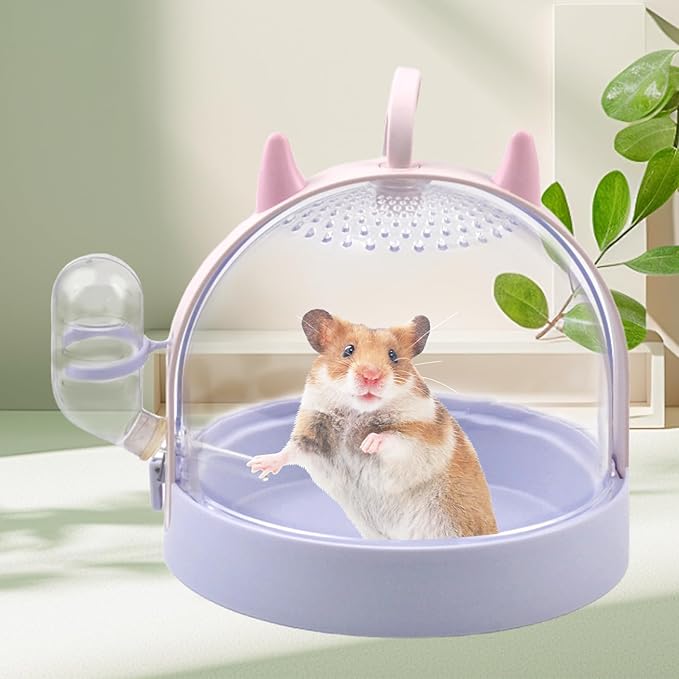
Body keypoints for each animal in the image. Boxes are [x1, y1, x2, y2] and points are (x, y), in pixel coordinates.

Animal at [246, 309, 498, 540]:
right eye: (348, 350)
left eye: (393, 355)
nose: (371, 376)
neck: (357, 412)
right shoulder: (312, 434)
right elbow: (290, 451)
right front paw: (256, 465)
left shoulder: (421, 439)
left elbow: (394, 438)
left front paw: (367, 444)